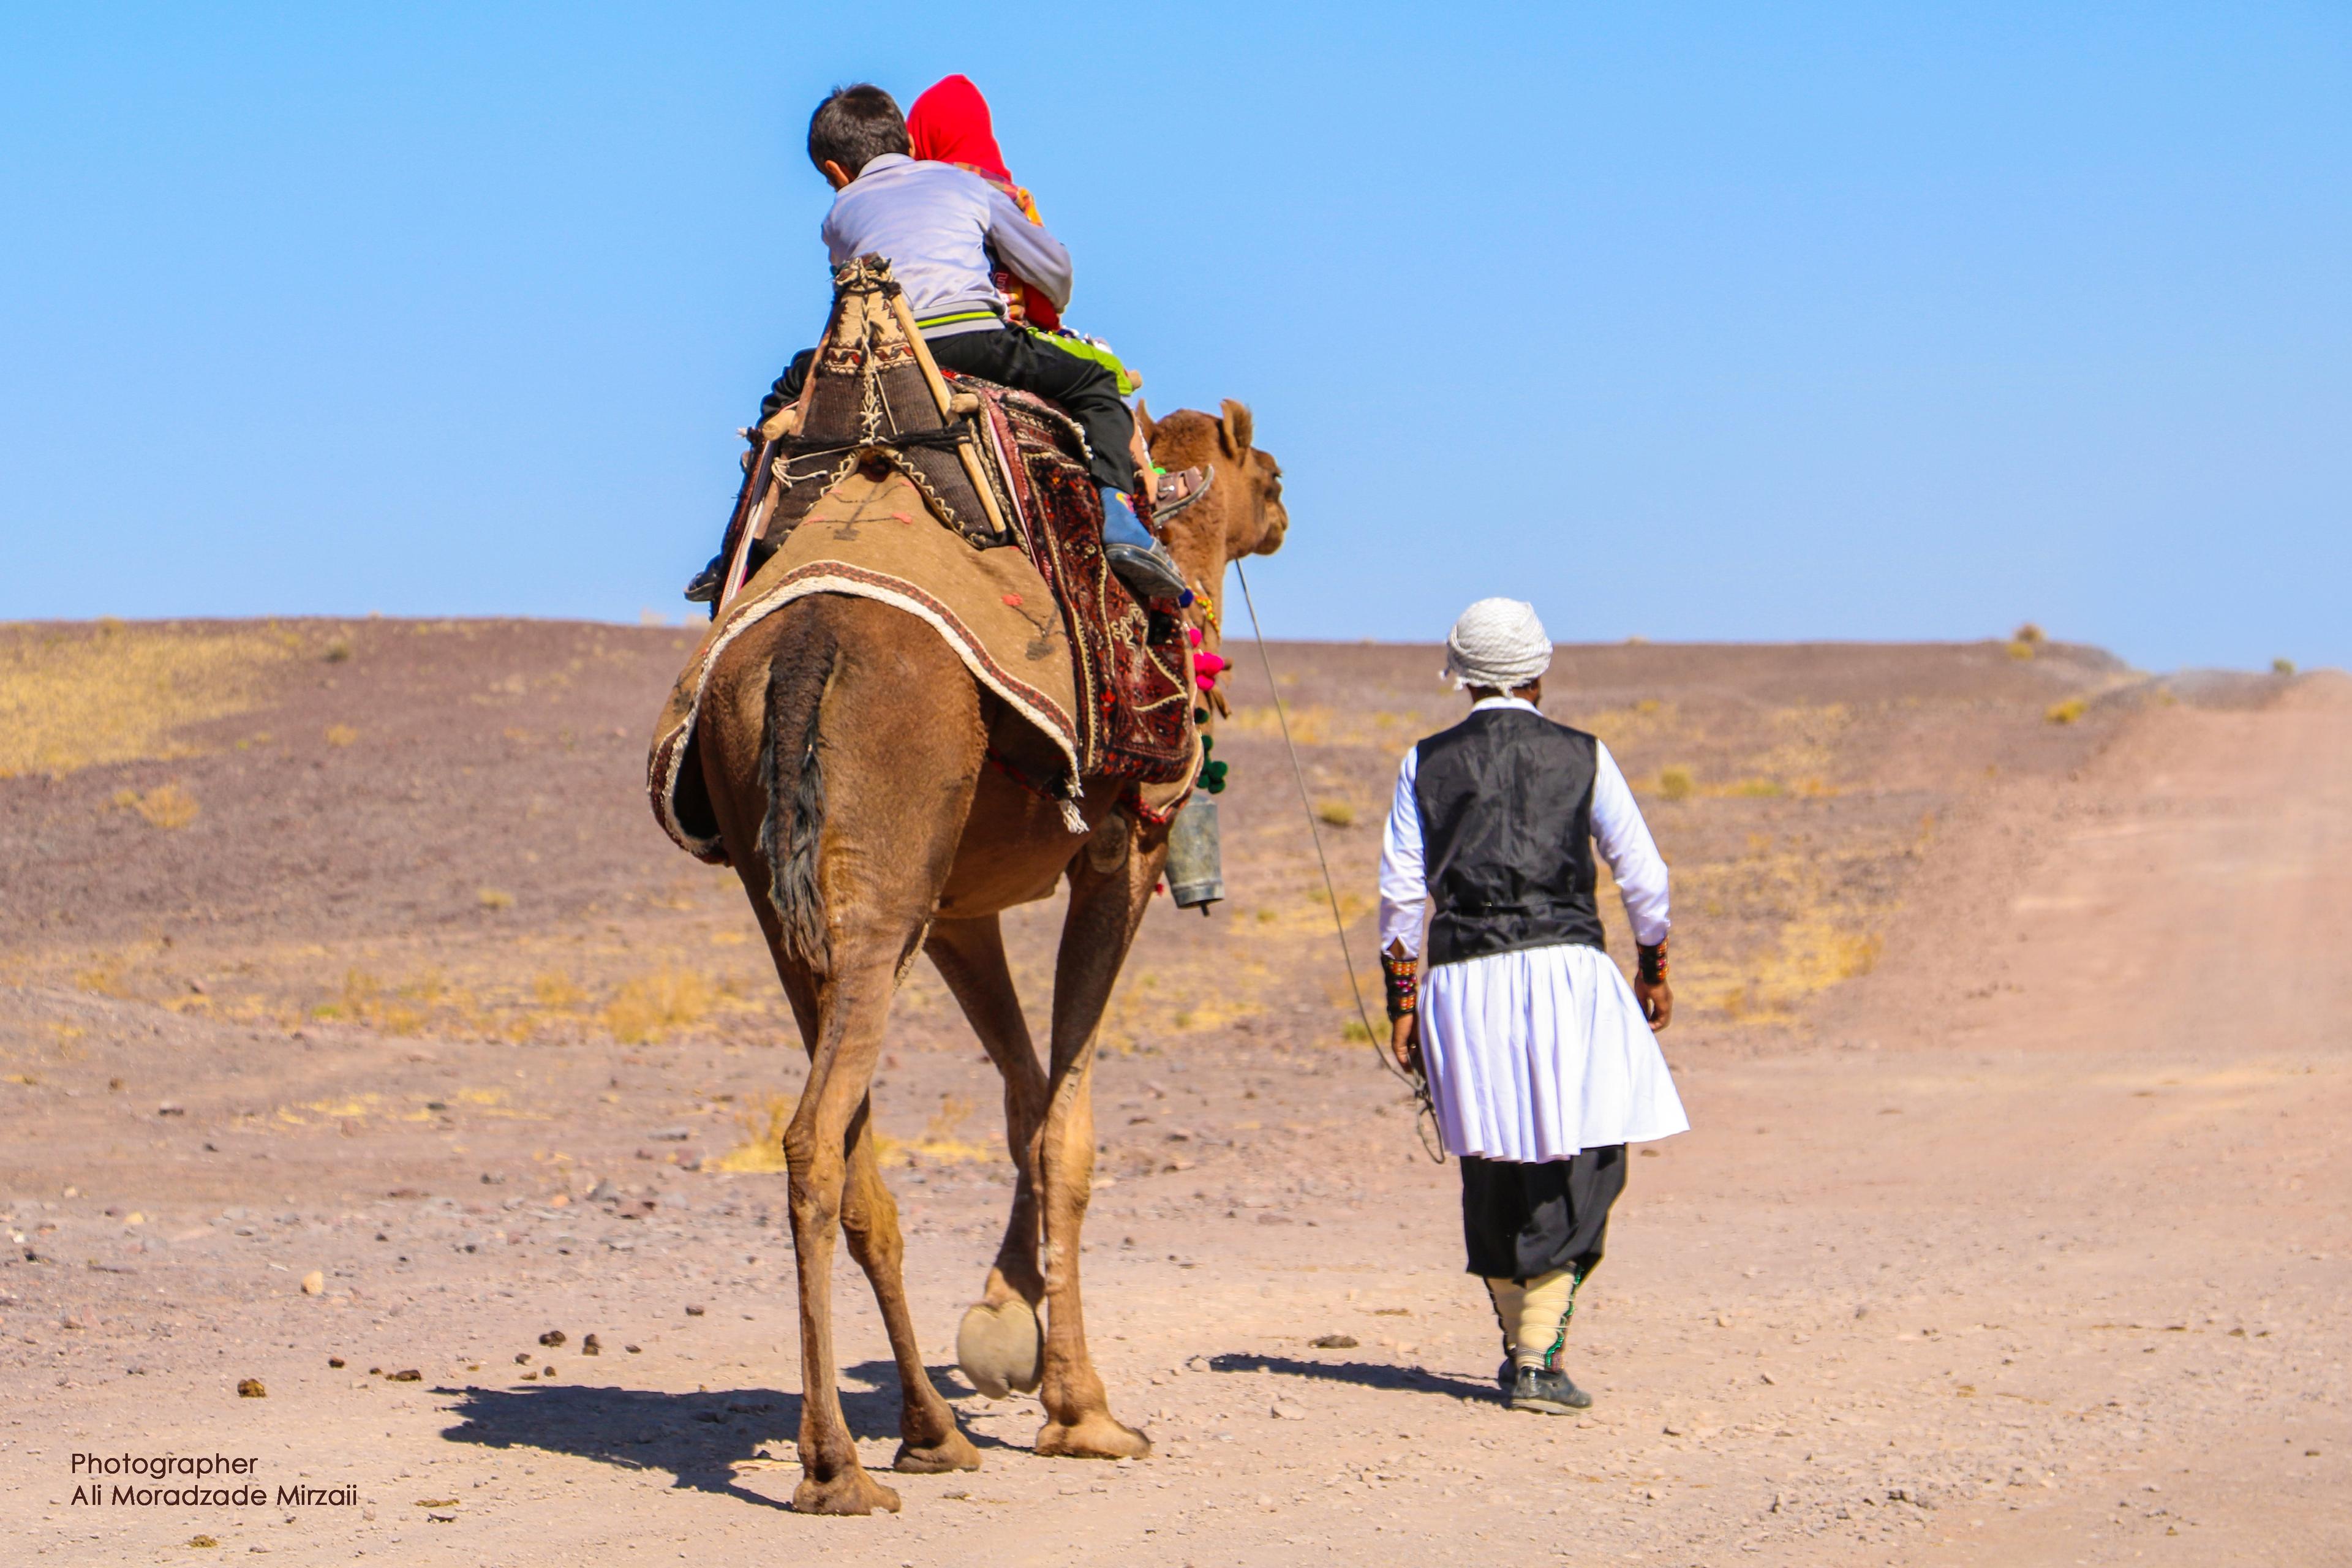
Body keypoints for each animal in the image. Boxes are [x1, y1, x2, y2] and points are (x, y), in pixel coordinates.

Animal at [687, 399, 1298, 1513]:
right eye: (1266, 476)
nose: (1281, 512)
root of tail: (803, 649)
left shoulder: (958, 913)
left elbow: (1024, 1100)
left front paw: (1002, 1330)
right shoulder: (1120, 858)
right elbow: (1067, 1128)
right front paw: (1082, 1409)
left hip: (802, 900)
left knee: (852, 1155)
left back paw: (930, 1432)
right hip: (882, 888)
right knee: (812, 1142)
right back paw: (836, 1467)